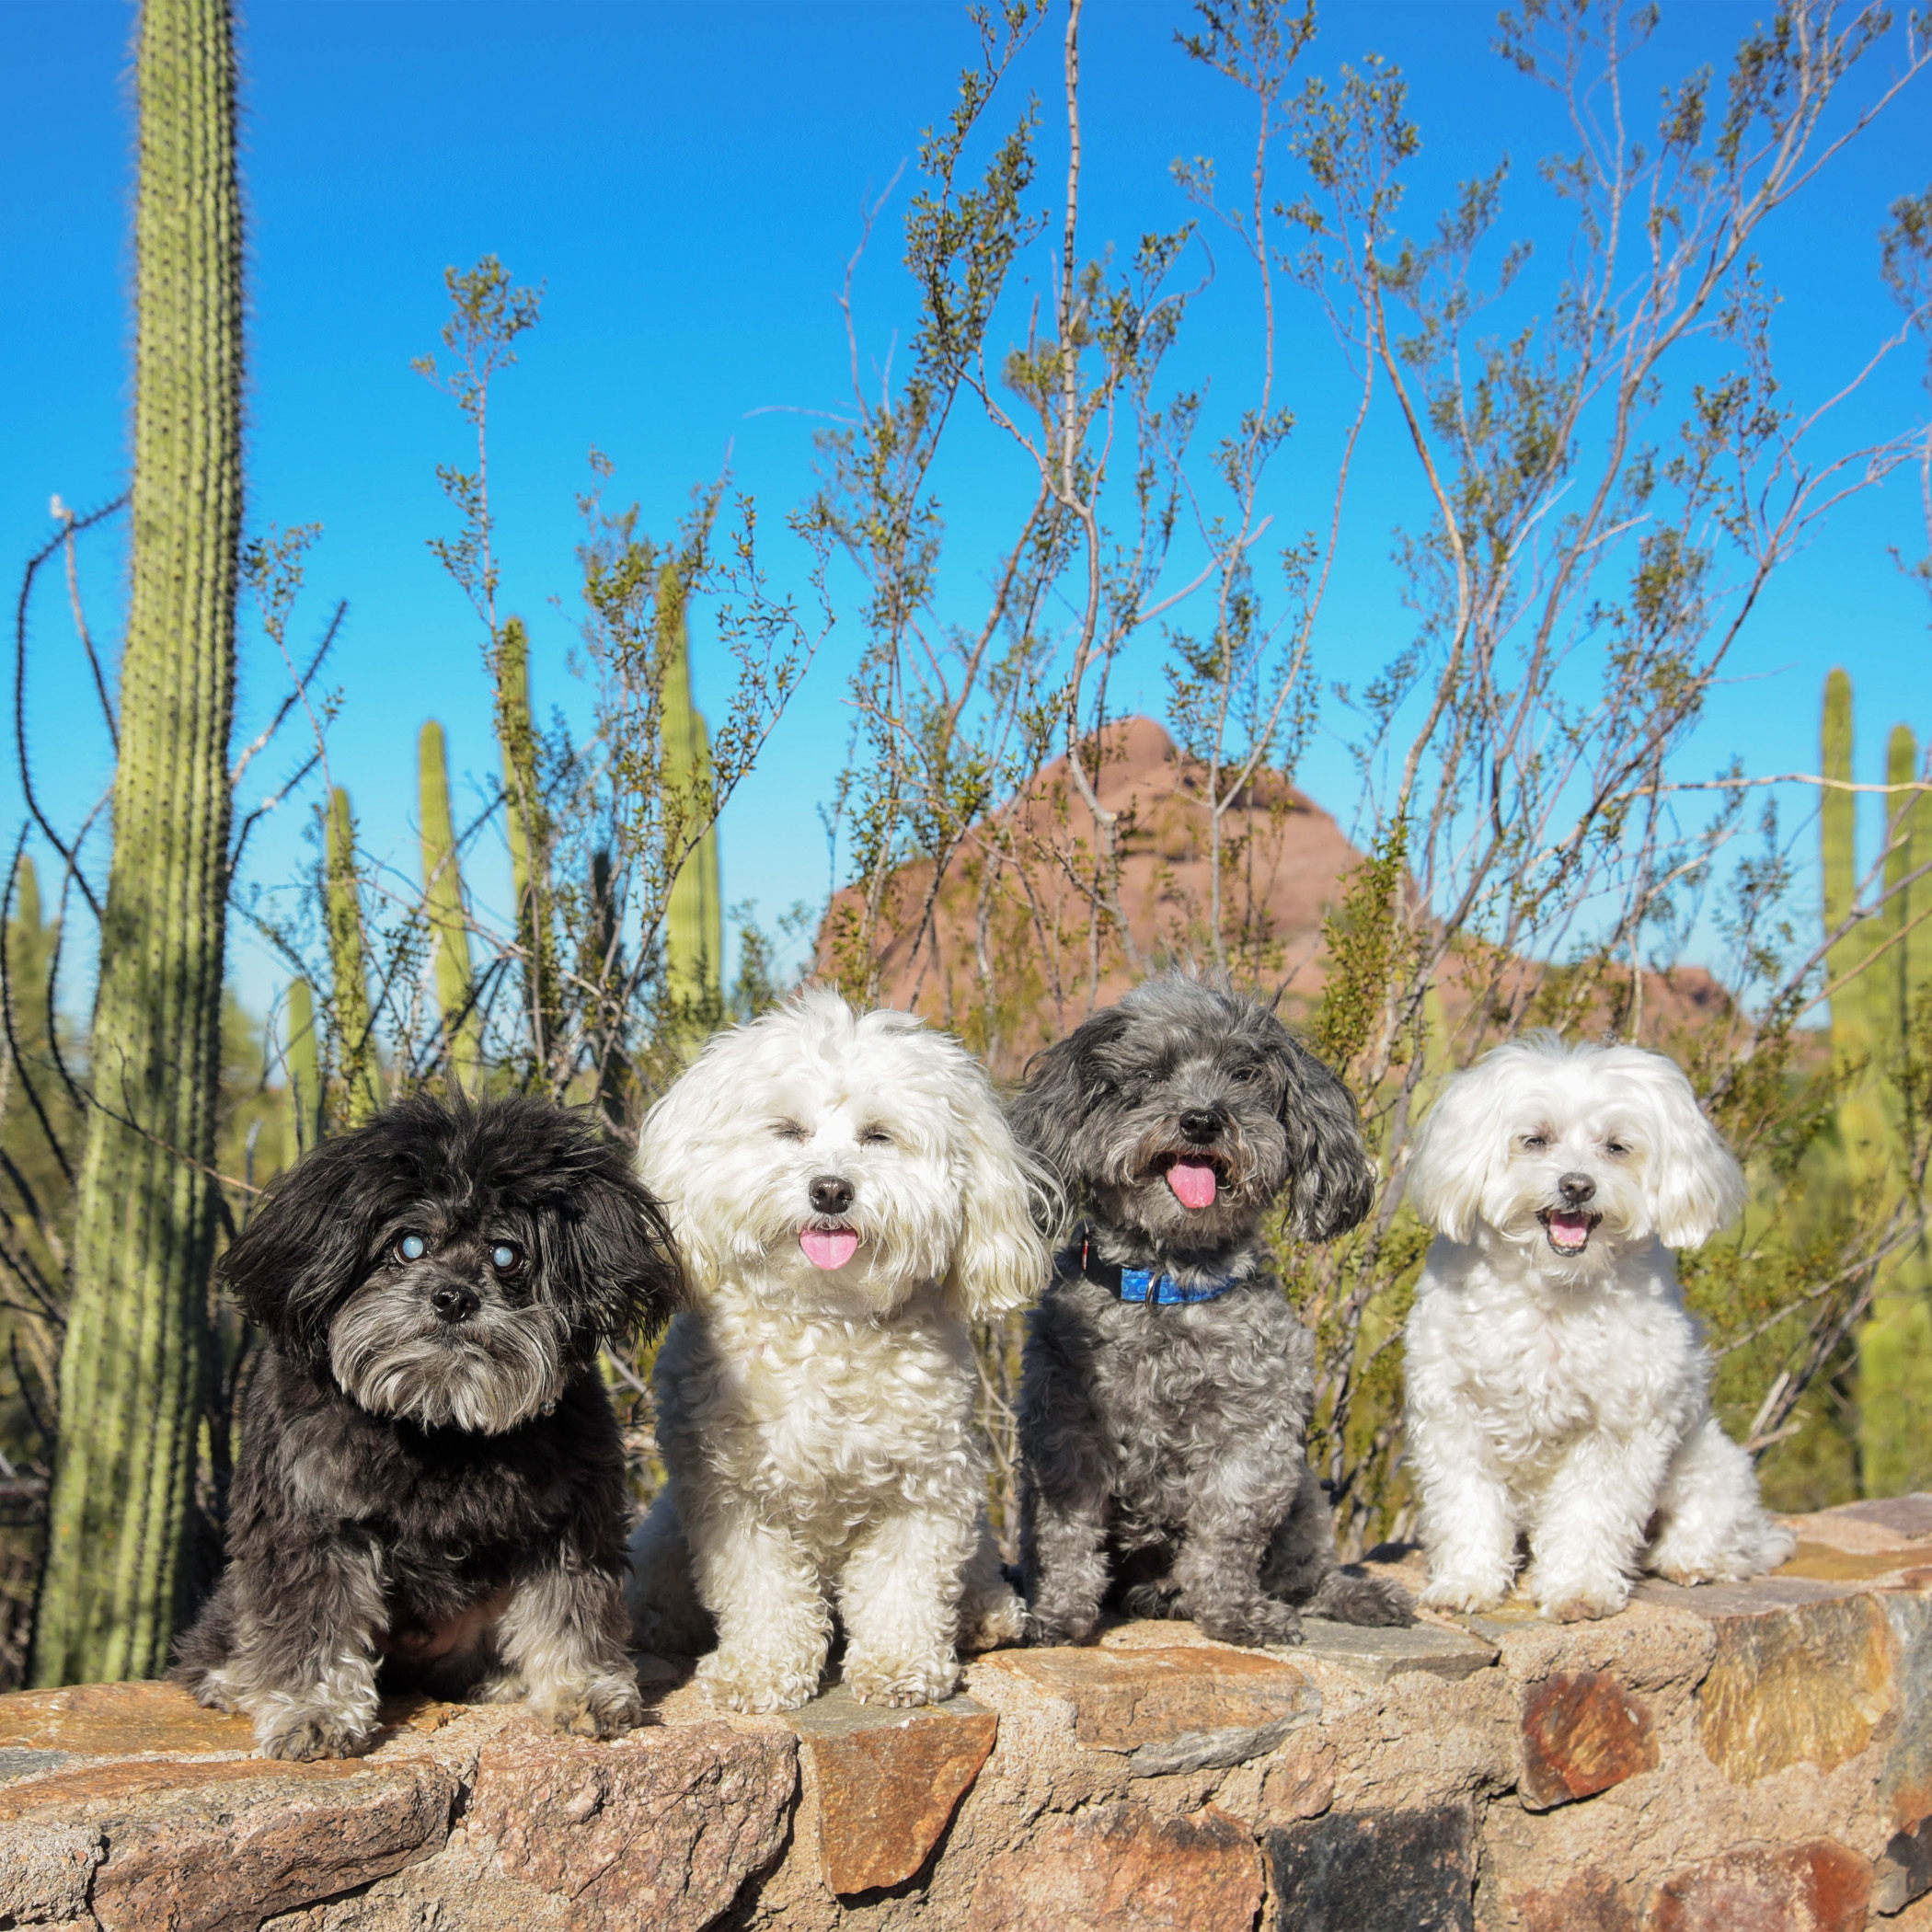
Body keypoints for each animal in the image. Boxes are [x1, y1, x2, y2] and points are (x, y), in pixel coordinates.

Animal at [173, 1097, 684, 1762]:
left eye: (505, 1255)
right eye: (410, 1245)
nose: (453, 1297)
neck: (438, 1424)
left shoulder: (570, 1519)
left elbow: (570, 1610)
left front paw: (583, 1690)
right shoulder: (309, 1522)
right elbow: (311, 1621)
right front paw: (312, 1711)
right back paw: (235, 1679)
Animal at [622, 989, 1051, 1715]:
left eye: (877, 1136)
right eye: (788, 1130)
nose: (830, 1190)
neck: (827, 1322)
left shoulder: (927, 1487)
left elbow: (904, 1585)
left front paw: (902, 1666)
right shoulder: (734, 1499)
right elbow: (762, 1591)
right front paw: (760, 1671)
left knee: (972, 1571)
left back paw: (984, 1614)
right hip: (662, 1539)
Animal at [1019, 973, 1414, 1653]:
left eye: (1244, 1075)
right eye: (1148, 1075)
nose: (1202, 1120)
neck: (1168, 1284)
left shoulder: (1256, 1434)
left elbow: (1229, 1533)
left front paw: (1234, 1613)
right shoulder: (1064, 1432)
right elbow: (1065, 1536)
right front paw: (1057, 1614)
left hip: (1307, 1498)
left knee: (1303, 1576)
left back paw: (1355, 1596)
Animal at [1398, 1035, 1785, 1622]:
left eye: (1616, 1147)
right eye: (1535, 1139)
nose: (1577, 1186)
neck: (1556, 1290)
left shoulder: (1618, 1426)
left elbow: (1591, 1514)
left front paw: (1578, 1590)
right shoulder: (1453, 1412)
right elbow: (1468, 1503)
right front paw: (1466, 1582)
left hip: (1711, 1469)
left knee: (1727, 1537)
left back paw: (1691, 1560)